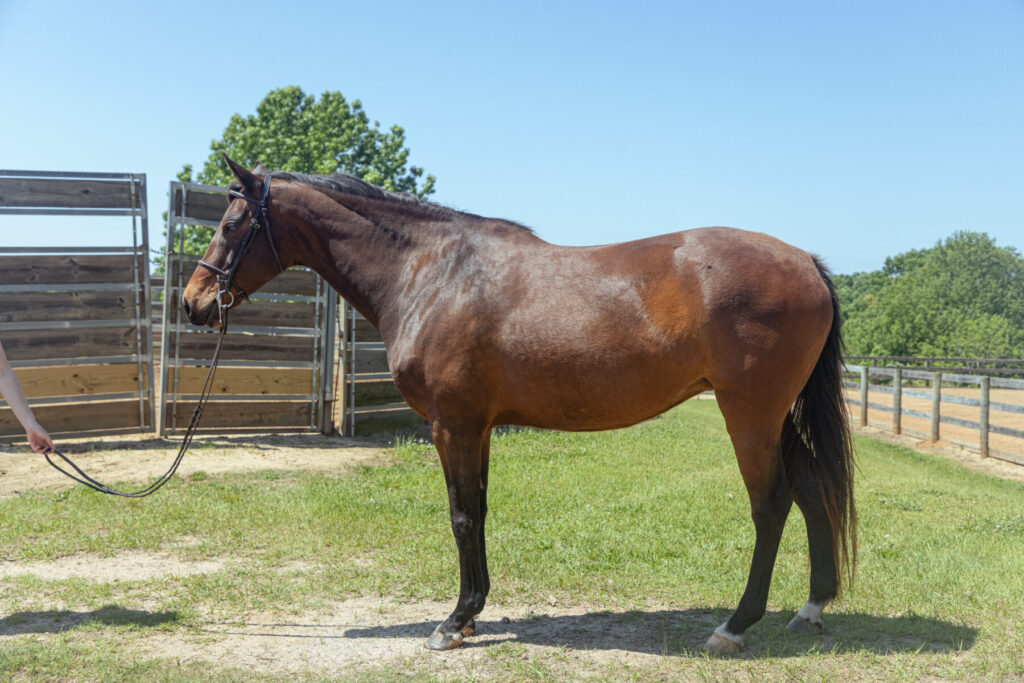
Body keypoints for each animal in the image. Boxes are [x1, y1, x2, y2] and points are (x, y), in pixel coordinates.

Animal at [182, 156, 856, 653]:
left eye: (232, 223)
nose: (193, 301)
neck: (430, 272)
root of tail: (807, 263)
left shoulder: (451, 425)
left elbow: (460, 516)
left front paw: (451, 624)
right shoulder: (476, 428)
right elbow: (478, 512)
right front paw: (473, 612)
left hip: (750, 414)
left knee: (771, 505)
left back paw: (734, 627)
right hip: (775, 417)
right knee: (811, 487)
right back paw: (811, 607)